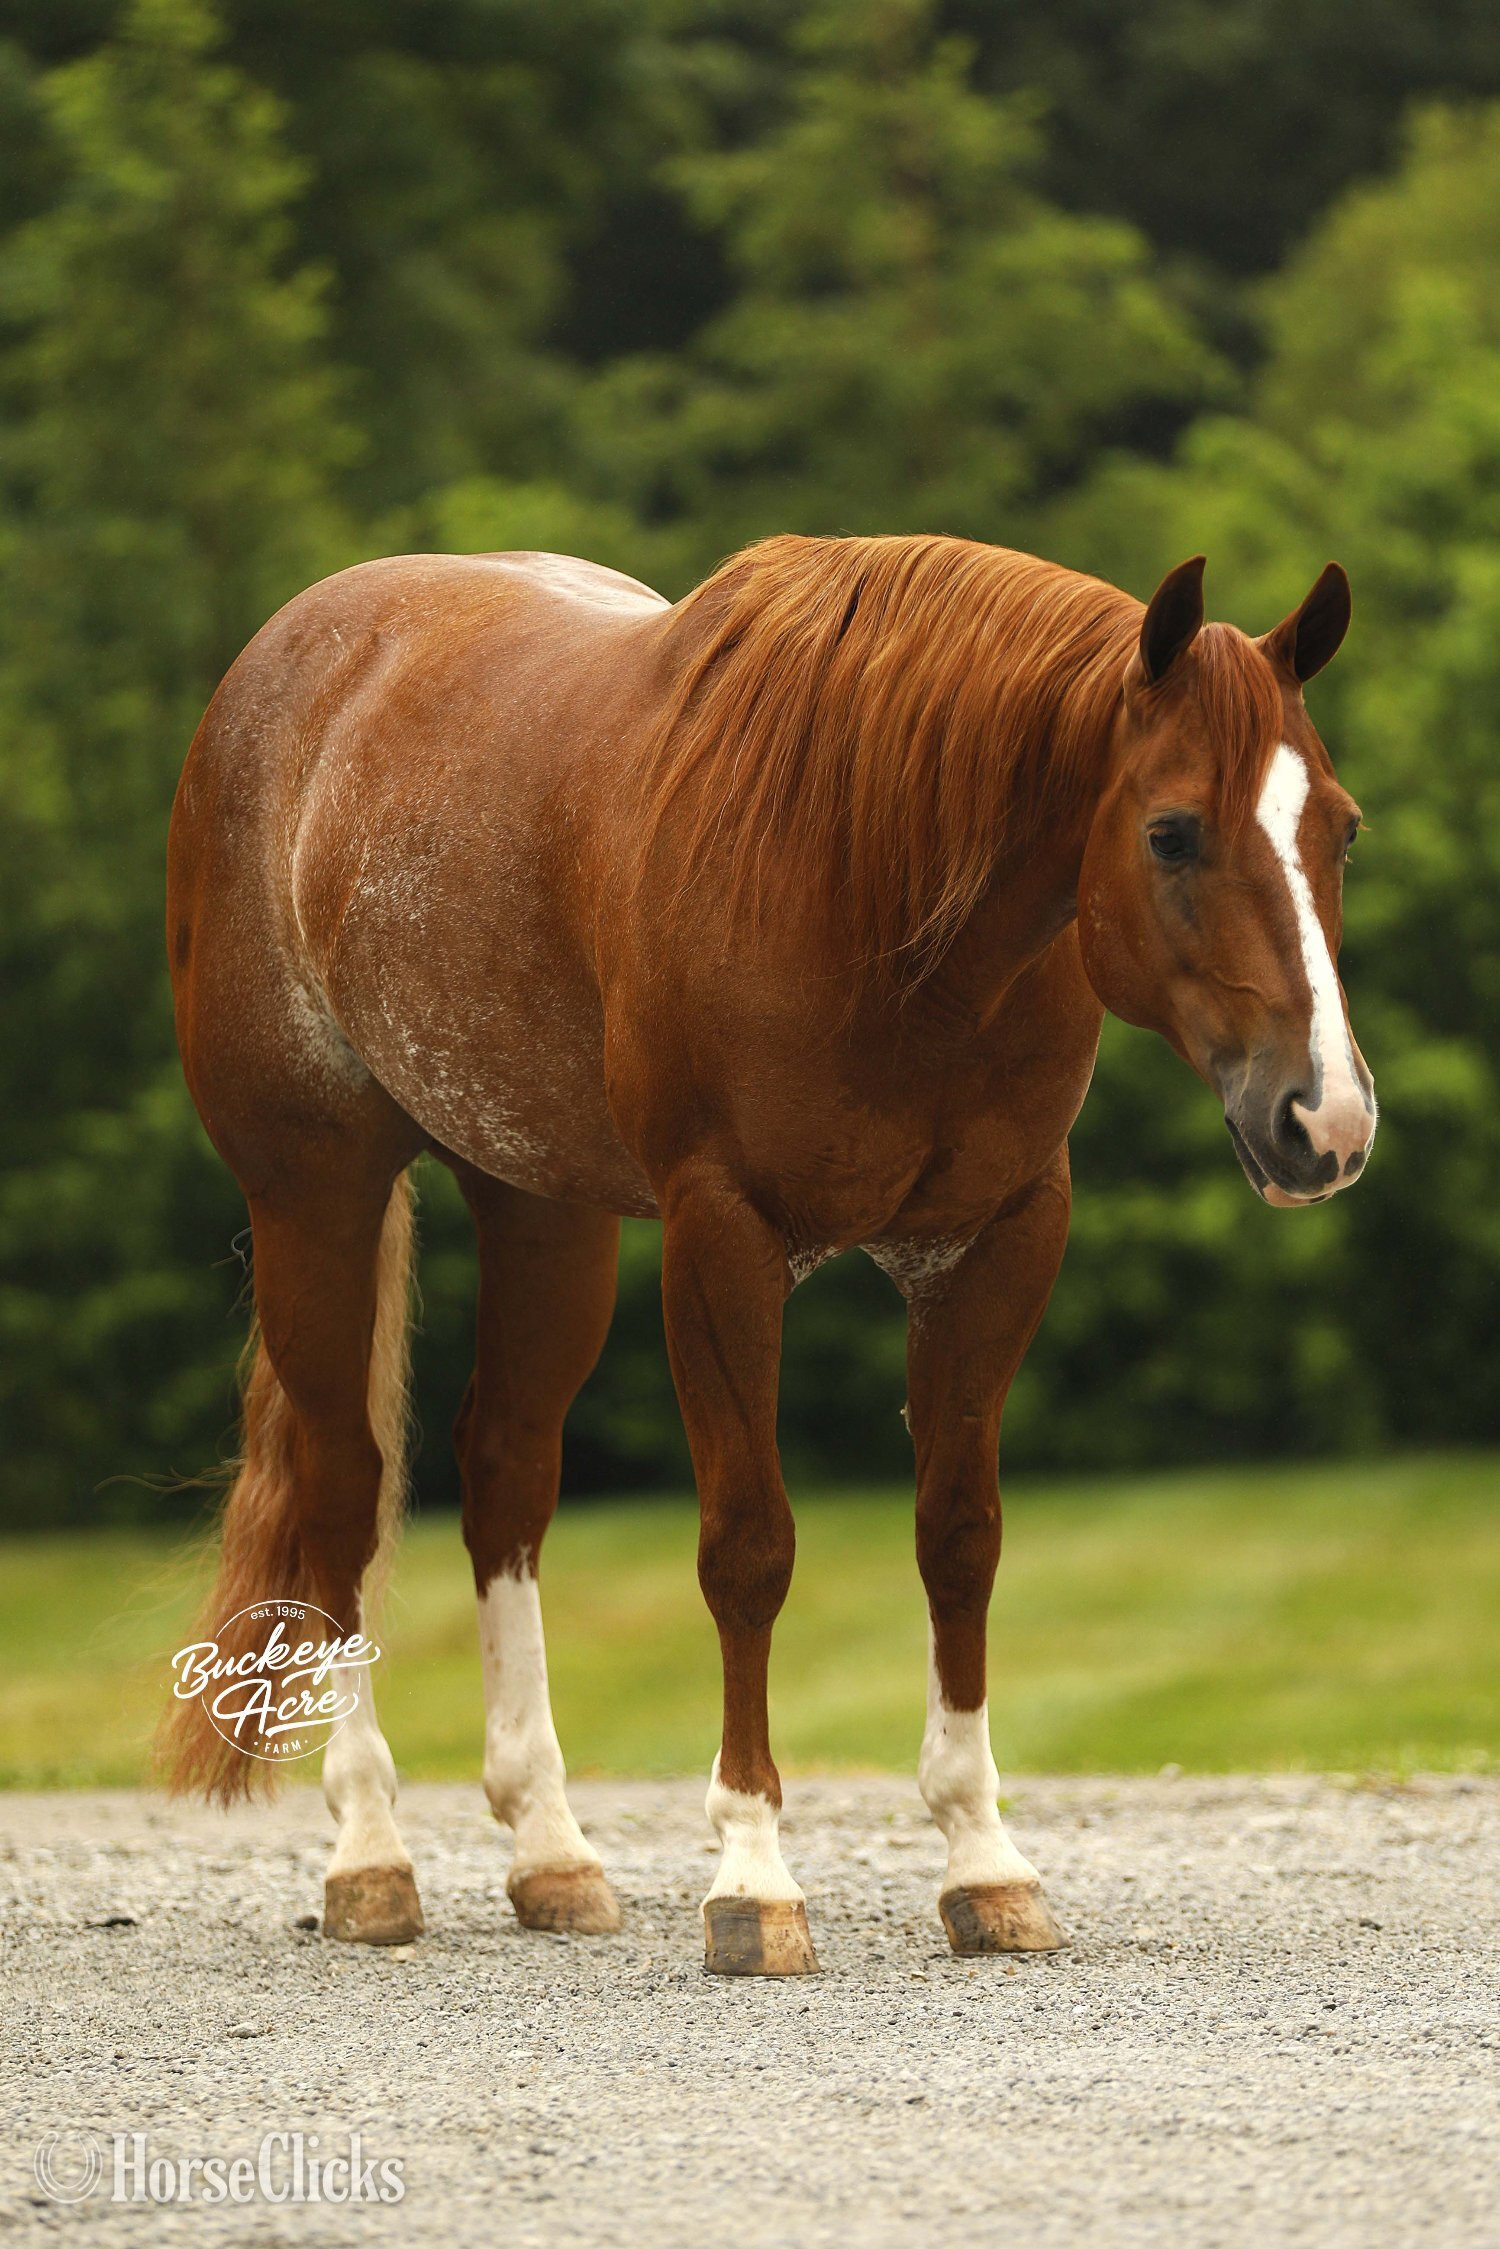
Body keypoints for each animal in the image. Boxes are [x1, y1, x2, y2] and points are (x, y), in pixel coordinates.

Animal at [162, 533, 1375, 1975]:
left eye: (1341, 826)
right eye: (1173, 830)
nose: (1324, 1121)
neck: (868, 879)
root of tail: (290, 655)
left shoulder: (993, 1241)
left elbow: (960, 1537)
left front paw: (984, 1861)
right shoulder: (722, 1238)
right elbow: (748, 1546)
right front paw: (752, 1876)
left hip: (539, 1205)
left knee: (505, 1470)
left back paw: (551, 1851)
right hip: (317, 1188)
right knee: (348, 1487)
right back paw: (369, 1852)